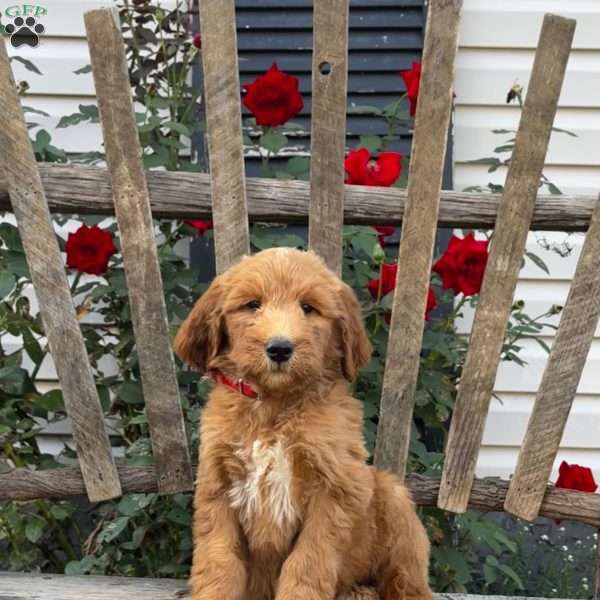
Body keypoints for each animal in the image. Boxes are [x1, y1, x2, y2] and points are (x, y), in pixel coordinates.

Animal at [173, 246, 432, 596]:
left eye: (308, 308)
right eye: (252, 304)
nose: (280, 348)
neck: (274, 405)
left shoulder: (335, 490)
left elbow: (307, 563)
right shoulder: (218, 488)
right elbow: (219, 563)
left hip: (393, 498)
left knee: (408, 583)